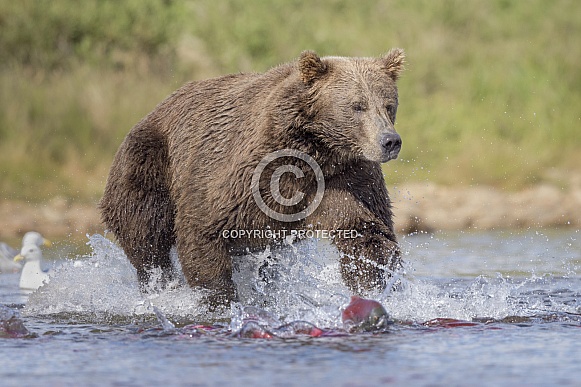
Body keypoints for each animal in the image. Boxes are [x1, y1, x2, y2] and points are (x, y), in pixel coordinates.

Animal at [99, 48, 406, 306]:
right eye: (357, 105)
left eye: (388, 104)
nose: (390, 141)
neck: (315, 151)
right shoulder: (241, 175)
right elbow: (202, 229)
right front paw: (221, 300)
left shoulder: (346, 179)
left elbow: (366, 231)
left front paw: (380, 286)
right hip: (148, 164)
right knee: (146, 237)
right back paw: (160, 285)